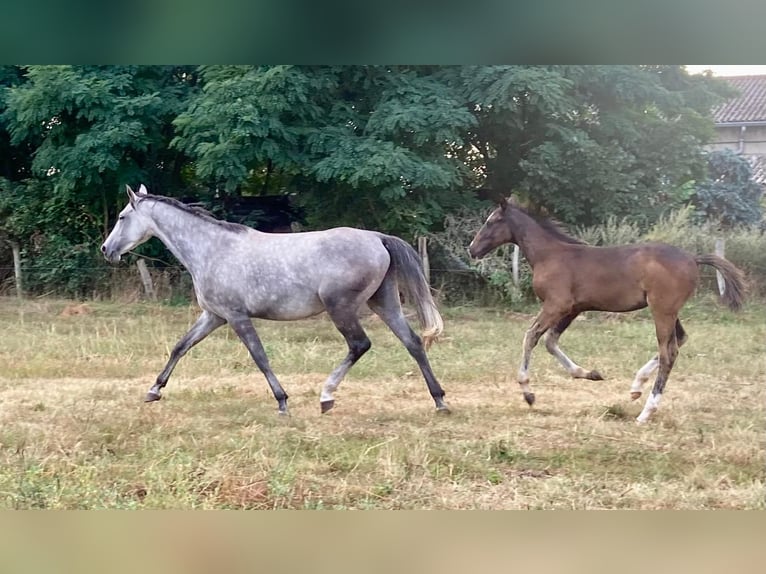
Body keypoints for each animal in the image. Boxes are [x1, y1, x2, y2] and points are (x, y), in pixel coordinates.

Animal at [102, 187, 450, 416]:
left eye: (122, 216)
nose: (107, 249)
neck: (212, 250)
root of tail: (377, 237)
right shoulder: (213, 315)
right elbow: (180, 346)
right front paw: (153, 390)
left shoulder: (236, 317)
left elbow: (260, 357)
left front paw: (282, 402)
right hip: (384, 303)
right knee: (413, 342)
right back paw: (439, 400)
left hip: (341, 308)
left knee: (359, 345)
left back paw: (326, 396)